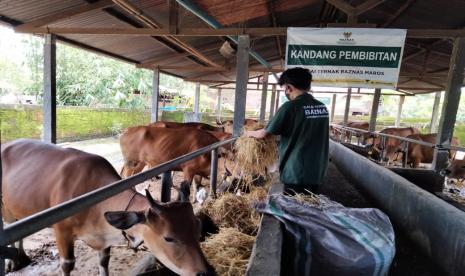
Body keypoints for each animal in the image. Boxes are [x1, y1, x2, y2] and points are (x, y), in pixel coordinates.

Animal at [1, 140, 214, 276]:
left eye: (197, 229)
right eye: (169, 238)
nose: (205, 273)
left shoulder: (104, 242)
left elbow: (104, 262)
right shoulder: (62, 232)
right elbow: (67, 265)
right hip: (6, 209)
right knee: (9, 226)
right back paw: (13, 261)